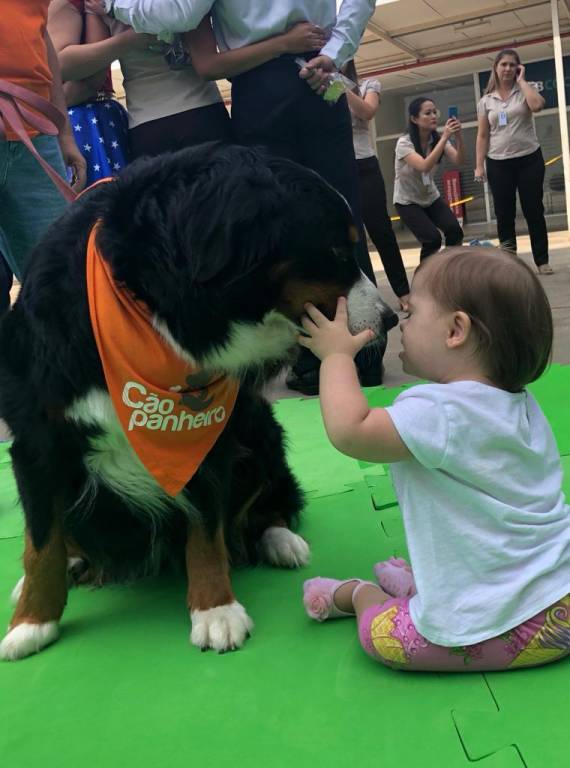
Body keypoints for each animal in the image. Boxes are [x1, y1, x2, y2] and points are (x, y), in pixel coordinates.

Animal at [0, 144, 398, 660]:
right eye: (334, 249)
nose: (390, 319)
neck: (157, 313)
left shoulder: (209, 436)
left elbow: (206, 528)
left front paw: (215, 610)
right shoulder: (38, 439)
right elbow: (41, 541)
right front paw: (31, 621)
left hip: (260, 428)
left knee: (267, 505)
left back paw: (279, 541)